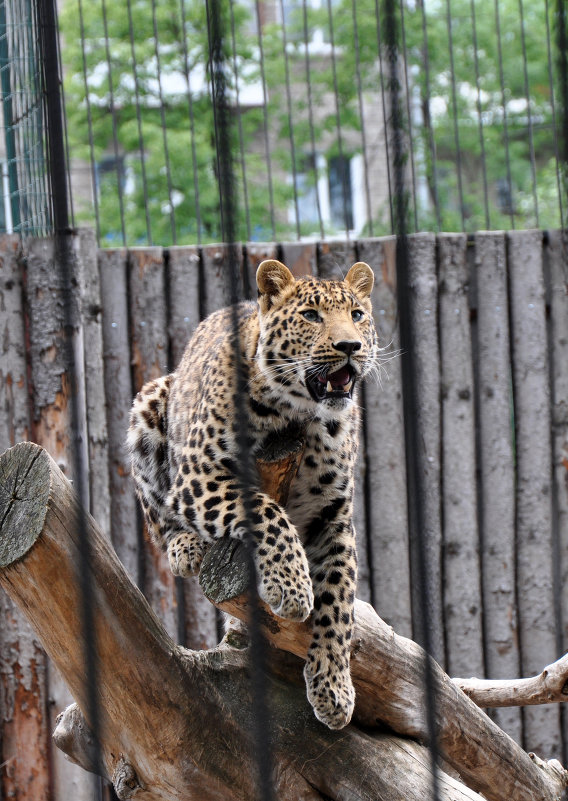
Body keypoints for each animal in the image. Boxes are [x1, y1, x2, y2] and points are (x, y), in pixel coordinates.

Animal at [126, 258, 380, 732]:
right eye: (311, 316)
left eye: (357, 314)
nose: (350, 346)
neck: (302, 416)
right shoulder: (199, 474)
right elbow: (267, 512)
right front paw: (292, 588)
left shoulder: (333, 514)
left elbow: (339, 601)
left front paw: (333, 688)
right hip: (148, 404)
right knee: (160, 522)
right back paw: (186, 546)